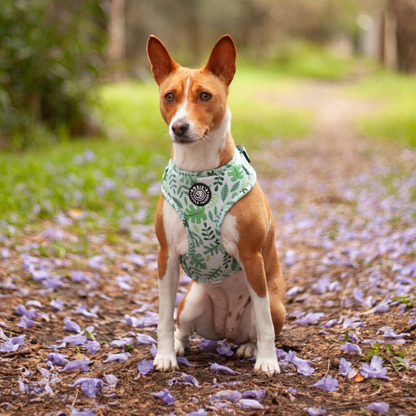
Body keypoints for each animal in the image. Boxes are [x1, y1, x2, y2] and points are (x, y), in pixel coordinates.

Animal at [146, 34, 286, 376]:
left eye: (205, 96)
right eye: (169, 96)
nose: (179, 127)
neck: (199, 174)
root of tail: (227, 330)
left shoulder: (252, 257)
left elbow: (264, 324)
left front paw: (268, 362)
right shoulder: (166, 257)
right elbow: (163, 316)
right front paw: (165, 355)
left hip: (275, 305)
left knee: (261, 327)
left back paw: (250, 349)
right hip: (192, 301)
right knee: (182, 325)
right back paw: (180, 346)